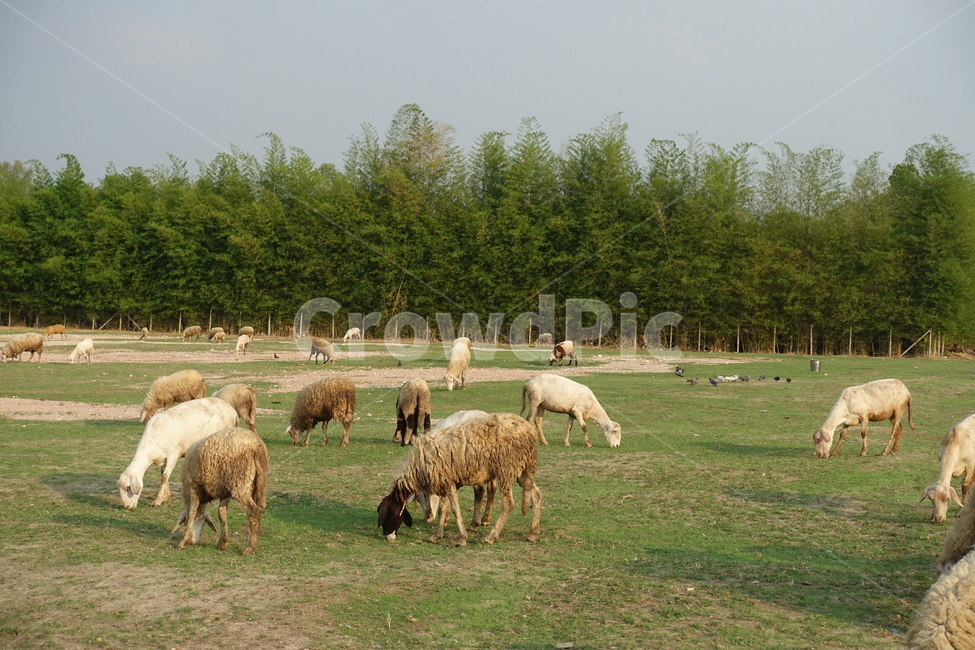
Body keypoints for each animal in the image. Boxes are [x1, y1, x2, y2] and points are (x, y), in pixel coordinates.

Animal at [172, 426, 268, 556]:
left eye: (185, 522)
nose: (193, 542)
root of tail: (256, 445)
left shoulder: (193, 487)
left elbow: (192, 511)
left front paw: (183, 541)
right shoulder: (225, 493)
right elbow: (221, 513)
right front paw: (223, 542)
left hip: (239, 481)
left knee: (254, 510)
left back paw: (249, 548)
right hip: (260, 484)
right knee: (260, 507)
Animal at [376, 412, 543, 545]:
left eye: (390, 513)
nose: (387, 537)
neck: (418, 467)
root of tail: (529, 430)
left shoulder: (448, 482)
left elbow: (455, 509)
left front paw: (462, 538)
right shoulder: (447, 482)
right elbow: (443, 509)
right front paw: (436, 536)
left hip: (507, 468)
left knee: (508, 504)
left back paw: (491, 536)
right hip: (522, 469)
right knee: (536, 495)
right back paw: (532, 533)